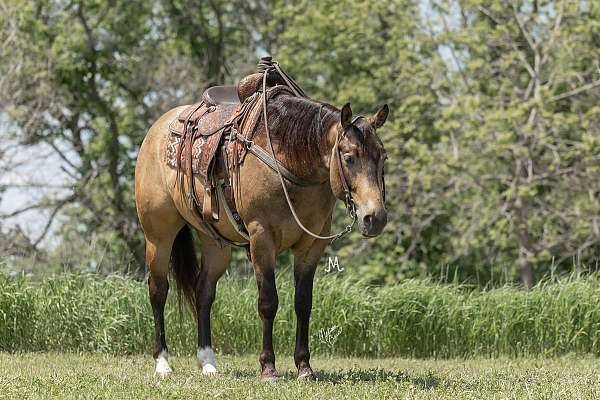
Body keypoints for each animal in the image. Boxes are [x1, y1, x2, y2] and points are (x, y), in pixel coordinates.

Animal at [134, 57, 390, 380]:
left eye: (383, 157)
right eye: (349, 157)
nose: (374, 217)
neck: (290, 161)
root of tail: (155, 132)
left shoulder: (311, 246)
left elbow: (303, 303)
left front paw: (304, 367)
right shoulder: (261, 238)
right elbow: (268, 301)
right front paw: (268, 367)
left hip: (216, 243)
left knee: (204, 292)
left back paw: (208, 362)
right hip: (158, 234)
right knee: (158, 290)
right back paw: (163, 363)